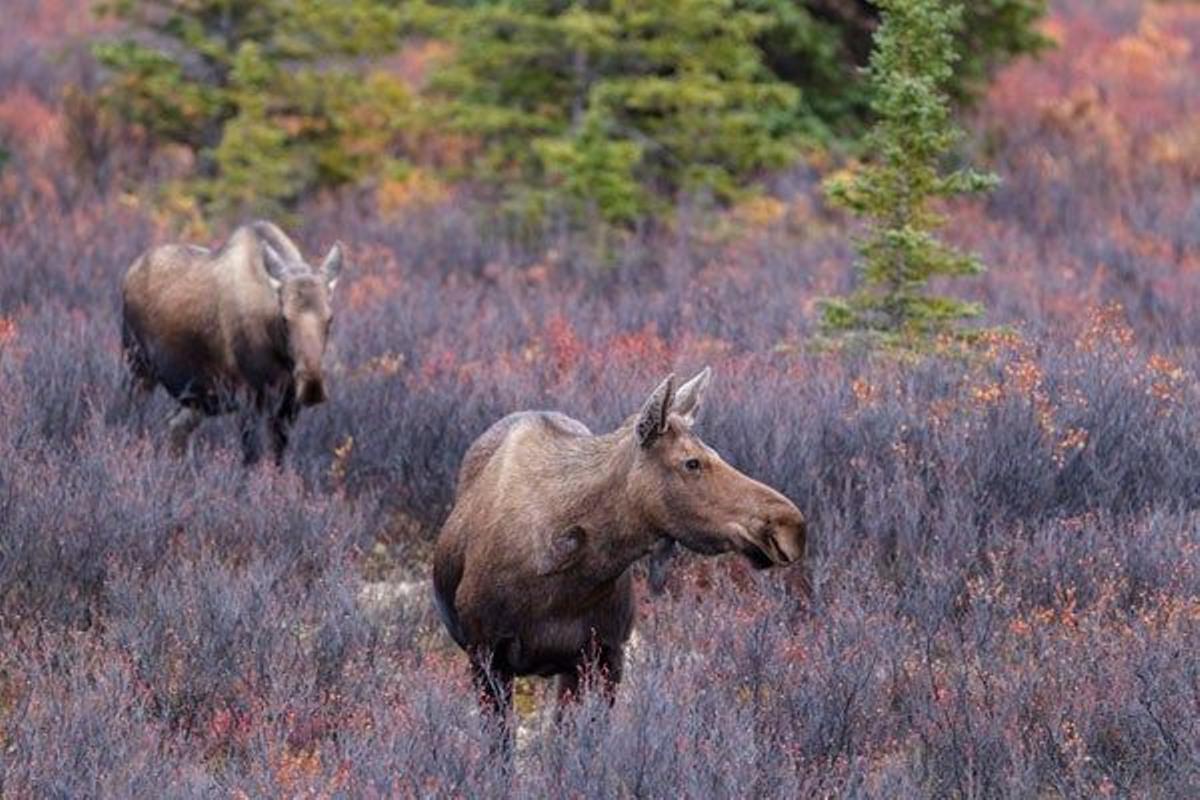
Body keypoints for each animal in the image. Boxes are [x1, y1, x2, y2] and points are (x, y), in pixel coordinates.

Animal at [120, 221, 343, 465]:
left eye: (330, 318)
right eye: (284, 318)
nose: (312, 386)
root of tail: (129, 273)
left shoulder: (287, 406)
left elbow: (276, 462)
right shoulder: (248, 400)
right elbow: (252, 459)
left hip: (195, 398)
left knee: (175, 426)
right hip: (138, 368)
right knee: (133, 420)